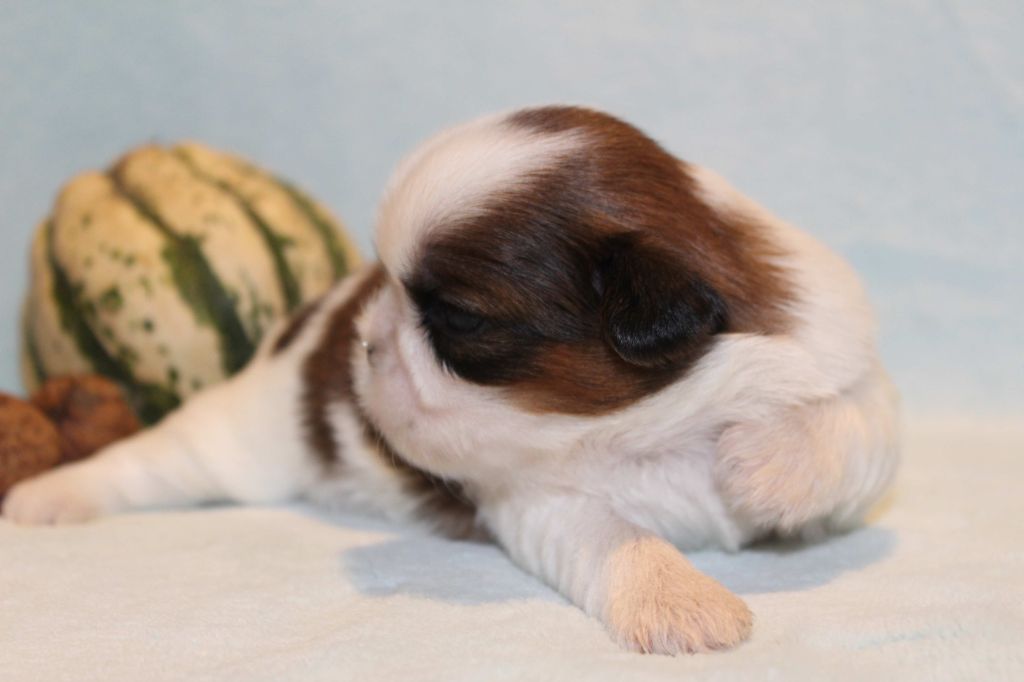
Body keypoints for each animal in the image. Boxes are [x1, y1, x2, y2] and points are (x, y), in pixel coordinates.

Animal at [3, 106, 900, 655]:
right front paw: (679, 601)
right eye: (392, 291)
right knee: (149, 464)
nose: (366, 344)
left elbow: (851, 422)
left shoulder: (840, 366)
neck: (642, 426)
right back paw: (49, 496)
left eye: (459, 321)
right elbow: (615, 536)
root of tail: (308, 318)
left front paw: (768, 466)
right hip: (238, 439)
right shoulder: (539, 503)